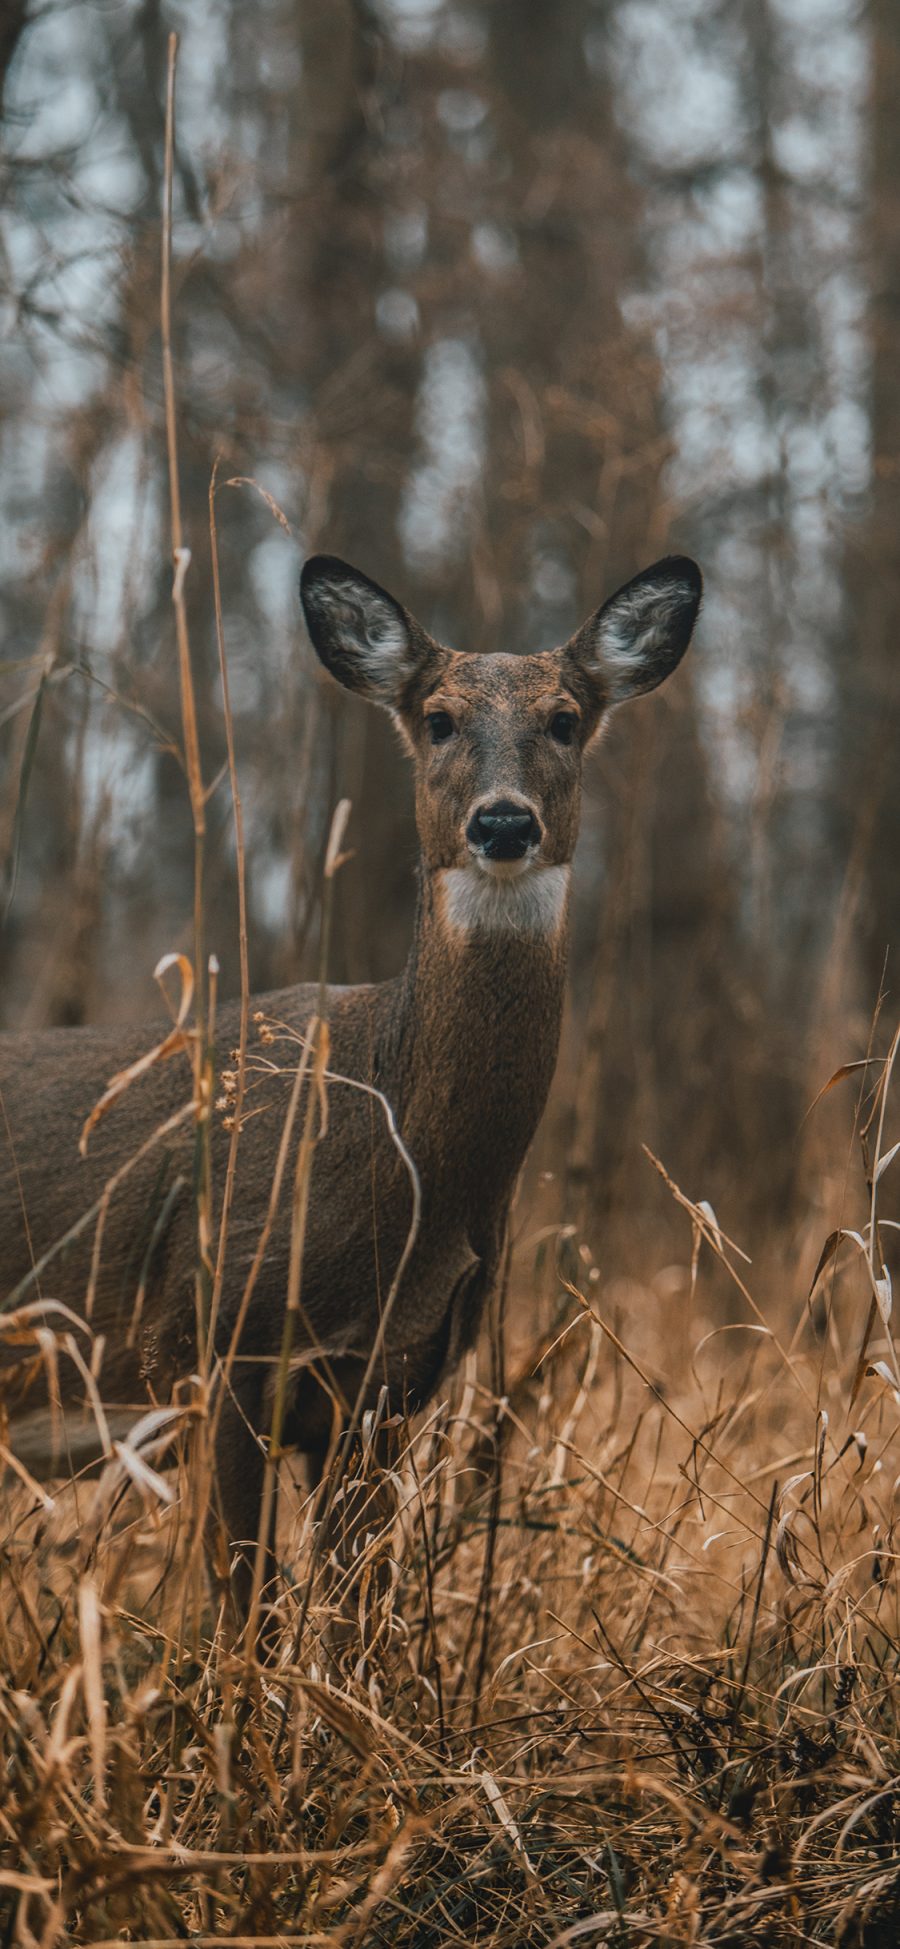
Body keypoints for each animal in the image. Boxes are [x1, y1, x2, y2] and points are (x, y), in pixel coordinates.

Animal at [0, 549, 701, 1629]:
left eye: (565, 716)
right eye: (440, 716)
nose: (504, 821)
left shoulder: (390, 1385)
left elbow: (352, 1613)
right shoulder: (215, 1345)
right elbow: (248, 1609)